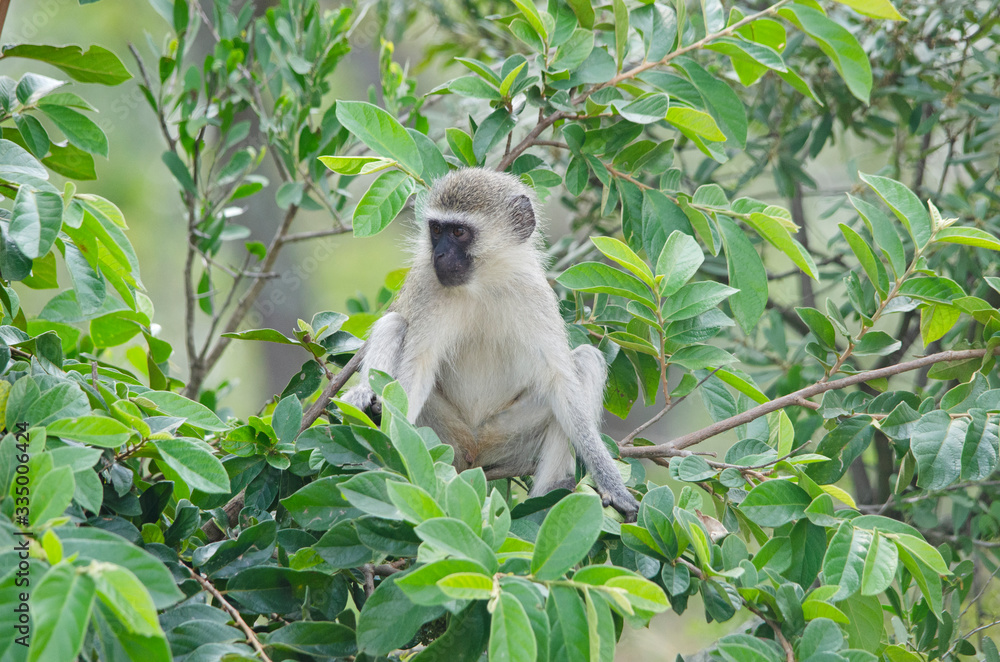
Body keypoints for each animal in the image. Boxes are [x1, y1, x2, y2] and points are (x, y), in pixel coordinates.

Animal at [343, 167, 639, 521]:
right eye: (436, 229)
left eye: (459, 232)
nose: (438, 255)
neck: (482, 284)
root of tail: (474, 452)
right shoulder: (429, 287)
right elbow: (418, 370)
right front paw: (394, 453)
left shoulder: (532, 293)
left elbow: (560, 383)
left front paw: (613, 484)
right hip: (442, 435)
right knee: (394, 324)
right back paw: (367, 404)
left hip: (506, 439)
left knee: (585, 360)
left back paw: (551, 493)